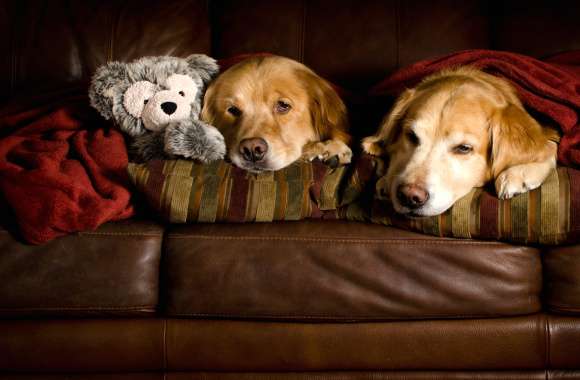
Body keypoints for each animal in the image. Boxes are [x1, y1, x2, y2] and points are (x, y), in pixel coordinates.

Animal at [362, 66, 556, 217]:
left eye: (464, 148)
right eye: (411, 136)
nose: (410, 196)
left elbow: (548, 146)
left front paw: (518, 173)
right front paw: (386, 180)